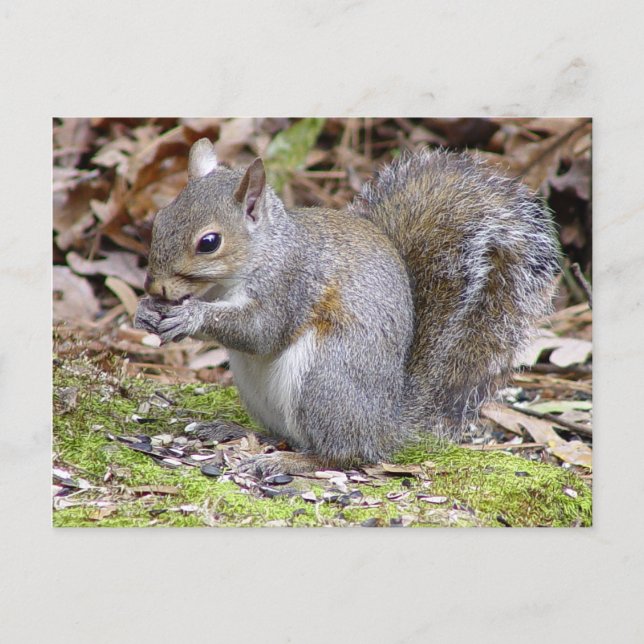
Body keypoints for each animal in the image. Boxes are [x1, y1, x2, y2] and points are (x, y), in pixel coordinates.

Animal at [135, 138, 560, 476]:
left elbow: (261, 331)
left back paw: (290, 461)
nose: (154, 286)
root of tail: (384, 424)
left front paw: (190, 316)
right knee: (284, 433)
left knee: (342, 455)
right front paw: (146, 310)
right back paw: (238, 431)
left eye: (209, 242)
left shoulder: (292, 283)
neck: (262, 252)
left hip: (324, 380)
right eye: (161, 218)